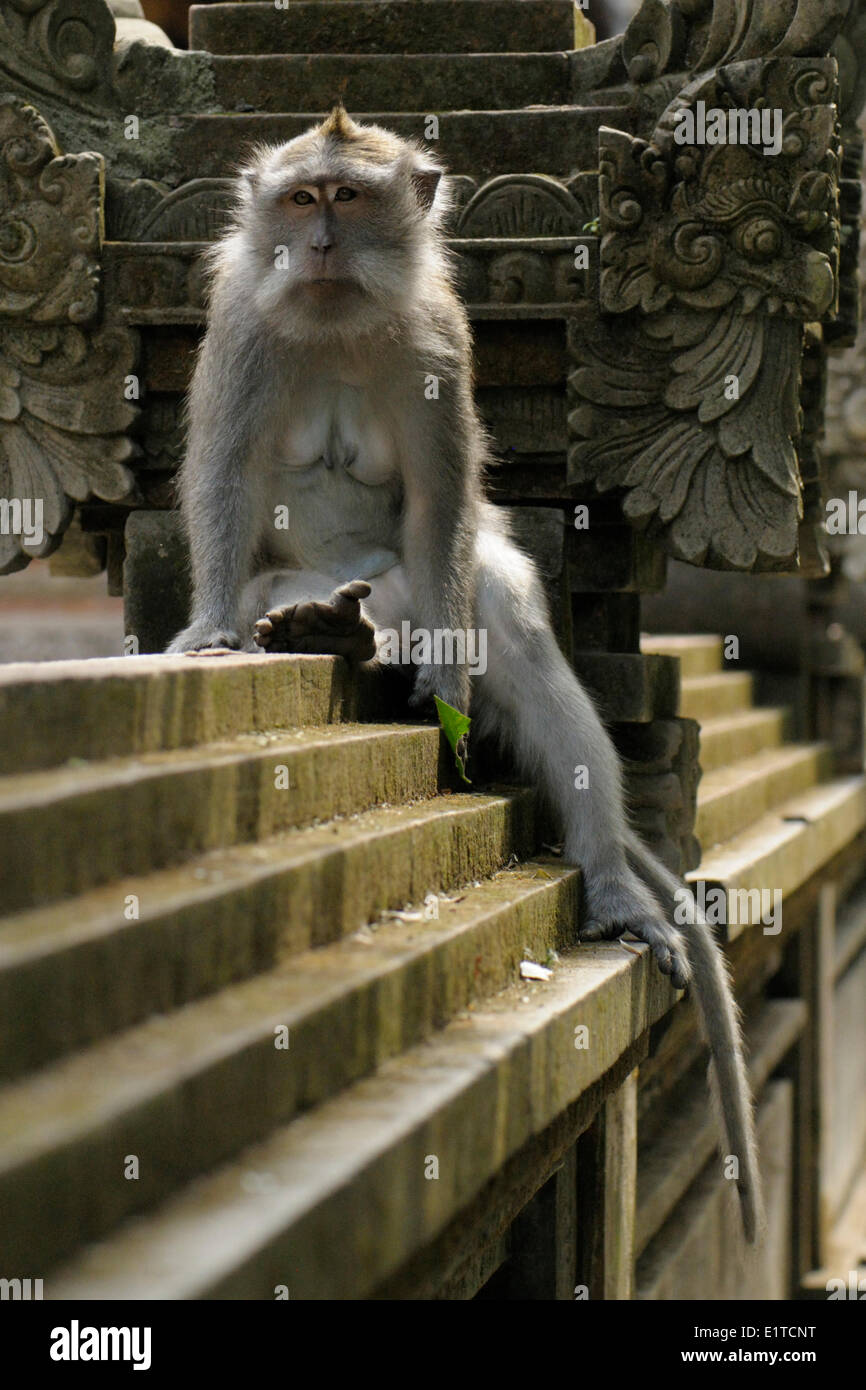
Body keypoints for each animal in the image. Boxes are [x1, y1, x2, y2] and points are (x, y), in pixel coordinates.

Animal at [166, 107, 761, 1242]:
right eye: (299, 199)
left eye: (348, 200)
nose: (317, 245)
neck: (338, 317)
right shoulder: (243, 325)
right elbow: (221, 475)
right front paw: (211, 629)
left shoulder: (441, 337)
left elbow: (444, 499)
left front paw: (444, 675)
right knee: (312, 594)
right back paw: (319, 629)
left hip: (426, 597)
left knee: (500, 617)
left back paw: (606, 878)